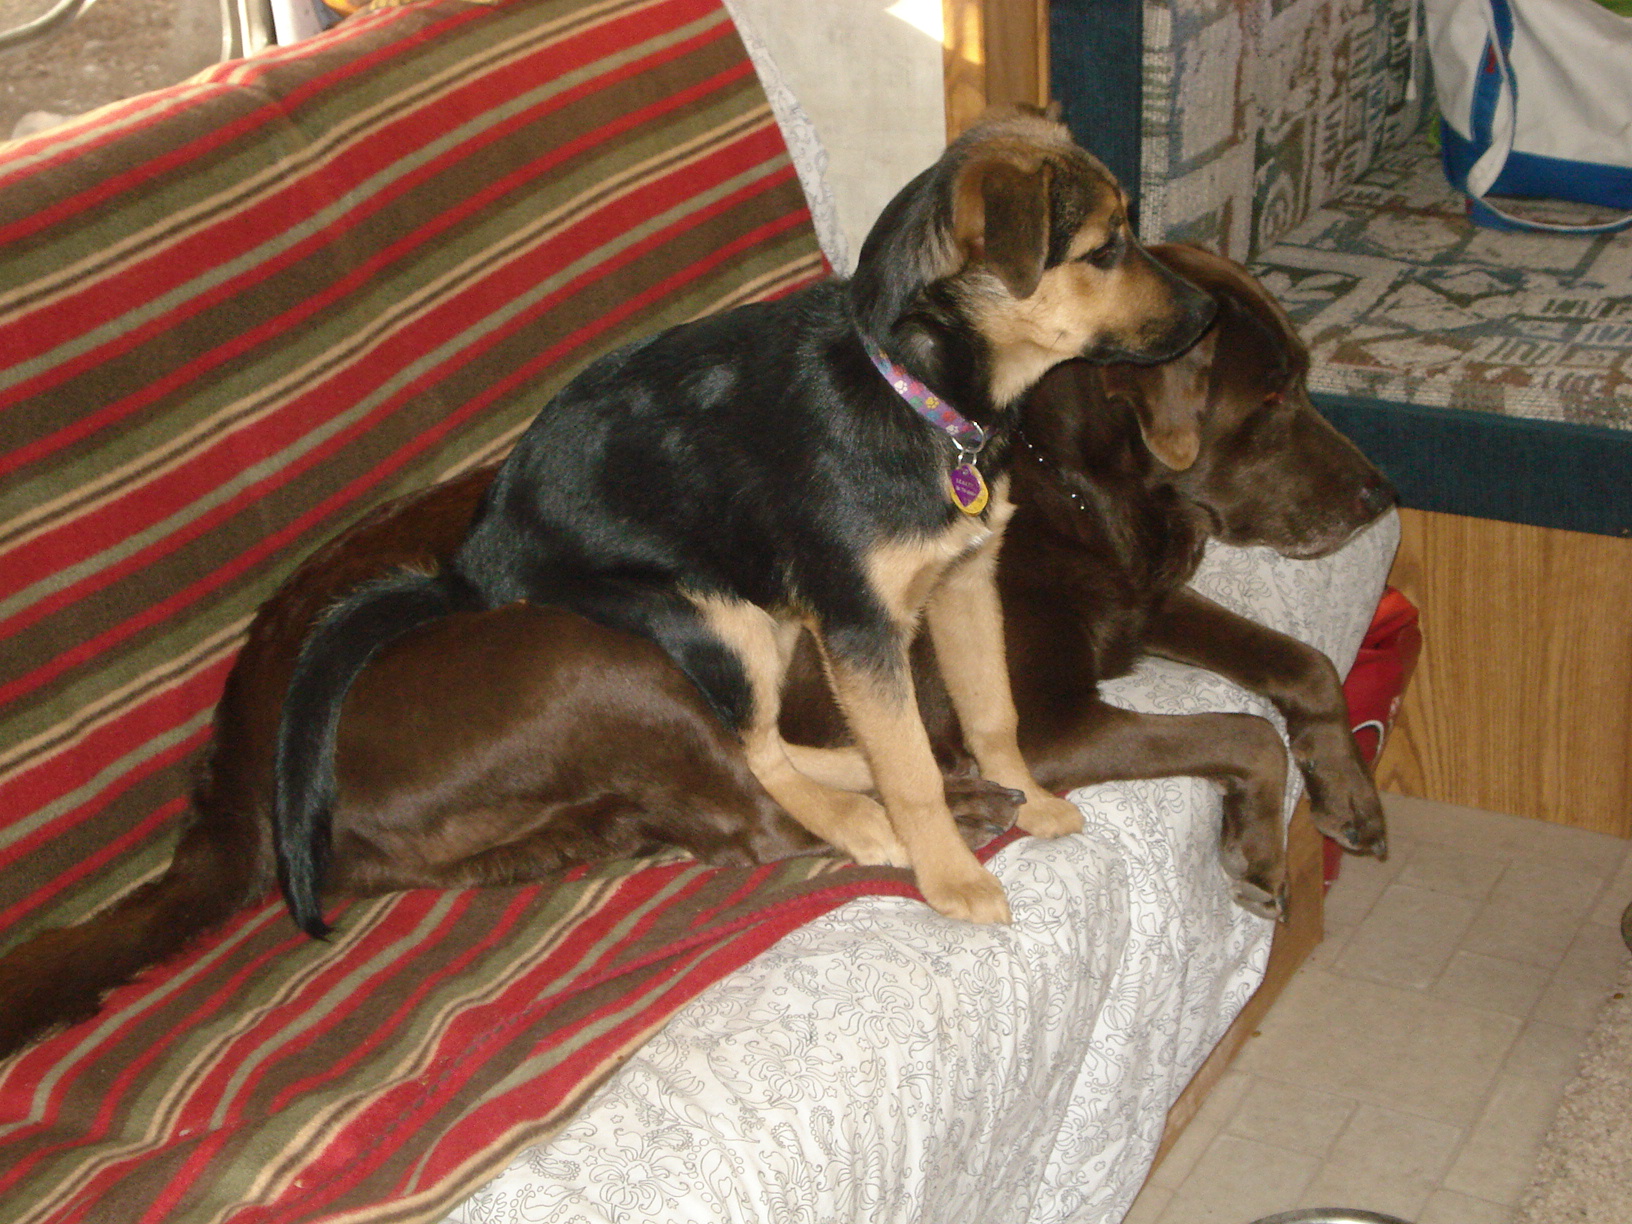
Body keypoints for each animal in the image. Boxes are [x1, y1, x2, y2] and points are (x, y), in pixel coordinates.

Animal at [274, 110, 1207, 933]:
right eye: (1105, 248)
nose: (1207, 316)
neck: (911, 389)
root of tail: (474, 560)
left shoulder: (965, 580)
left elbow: (991, 712)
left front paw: (1034, 799)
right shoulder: (860, 625)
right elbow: (907, 772)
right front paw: (949, 877)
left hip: (774, 611)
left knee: (783, 737)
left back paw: (867, 771)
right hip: (710, 615)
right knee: (757, 750)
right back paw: (859, 819)